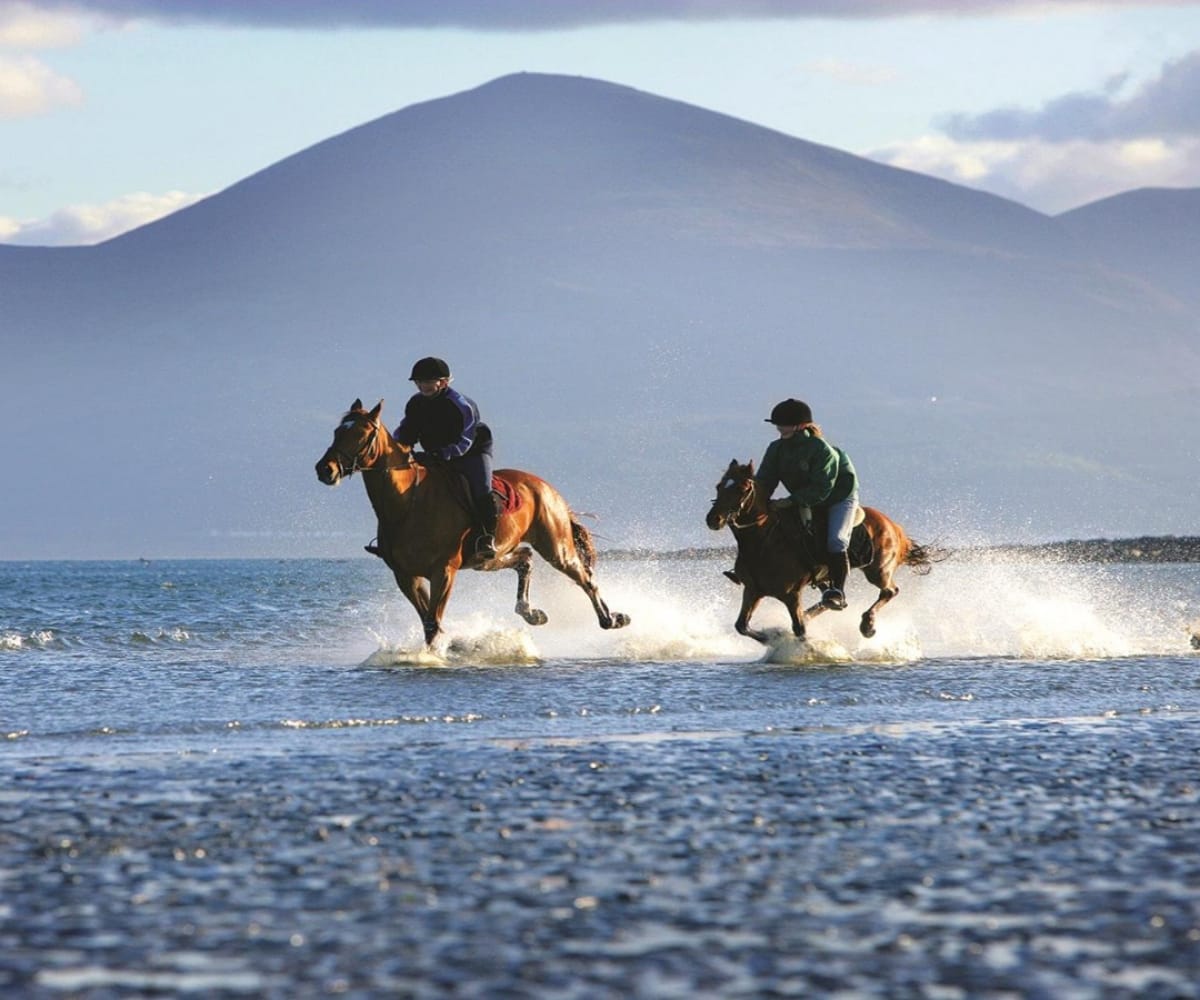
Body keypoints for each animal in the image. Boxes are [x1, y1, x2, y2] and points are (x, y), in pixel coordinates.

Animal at [315, 399, 630, 648]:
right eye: (337, 431)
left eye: (361, 433)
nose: (324, 470)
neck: (407, 504)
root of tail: (548, 489)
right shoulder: (406, 576)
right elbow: (428, 620)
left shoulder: (443, 571)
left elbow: (432, 622)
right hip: (488, 559)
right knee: (525, 559)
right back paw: (531, 613)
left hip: (556, 547)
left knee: (585, 578)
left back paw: (612, 619)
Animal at [705, 459, 933, 643]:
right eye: (719, 486)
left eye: (742, 489)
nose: (713, 519)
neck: (763, 543)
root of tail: (894, 527)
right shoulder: (753, 591)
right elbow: (741, 626)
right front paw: (773, 636)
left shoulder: (791, 594)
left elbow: (799, 630)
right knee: (830, 599)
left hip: (878, 570)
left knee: (889, 591)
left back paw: (867, 625)